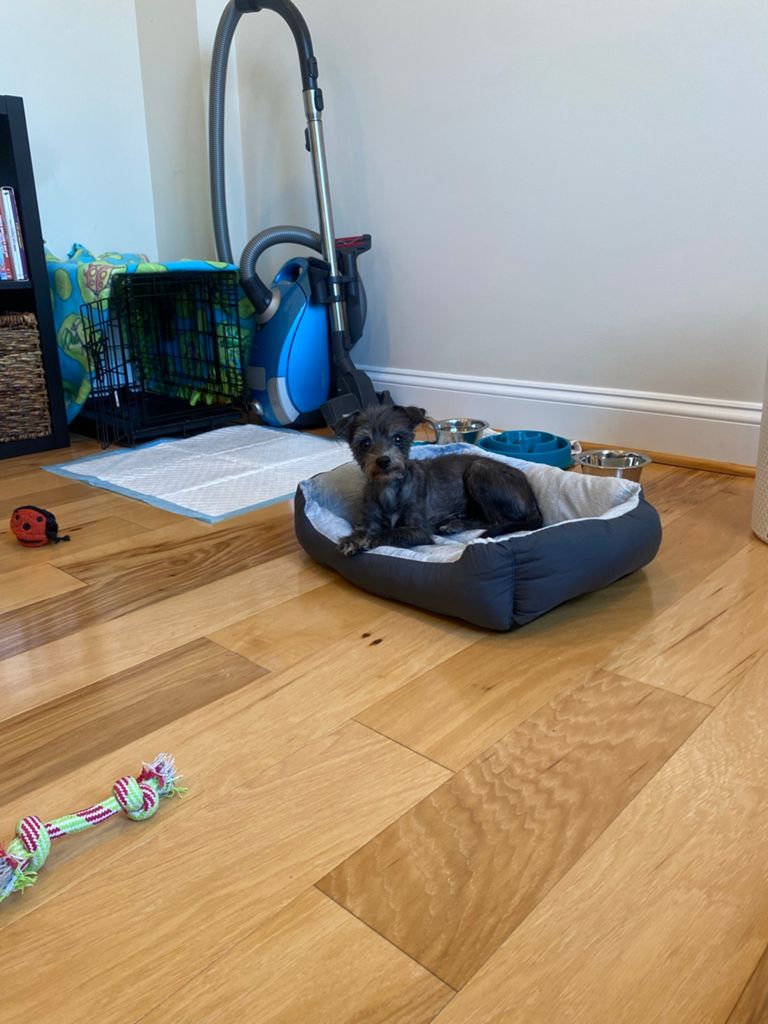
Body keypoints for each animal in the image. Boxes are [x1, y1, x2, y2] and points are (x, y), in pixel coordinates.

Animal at [336, 404, 543, 556]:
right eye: (365, 443)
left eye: (398, 438)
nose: (383, 461)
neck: (390, 488)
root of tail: (532, 497)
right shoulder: (370, 521)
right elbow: (363, 530)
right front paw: (352, 540)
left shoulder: (419, 531)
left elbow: (392, 532)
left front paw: (369, 540)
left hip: (478, 470)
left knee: (495, 521)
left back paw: (455, 524)